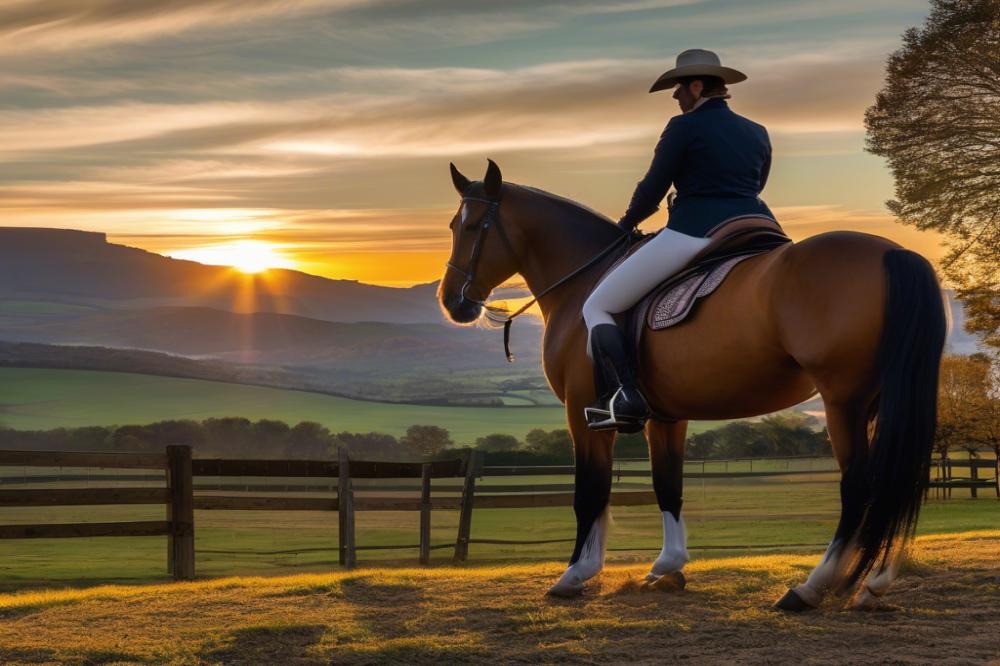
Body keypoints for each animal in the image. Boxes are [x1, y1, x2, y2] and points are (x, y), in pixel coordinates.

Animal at [438, 160, 944, 608]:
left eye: (471, 226)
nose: (451, 302)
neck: (584, 277)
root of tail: (895, 252)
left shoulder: (583, 413)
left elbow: (590, 491)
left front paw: (576, 574)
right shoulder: (665, 415)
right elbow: (667, 485)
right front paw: (667, 567)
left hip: (843, 401)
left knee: (861, 484)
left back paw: (812, 587)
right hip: (882, 400)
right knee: (900, 479)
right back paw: (873, 584)